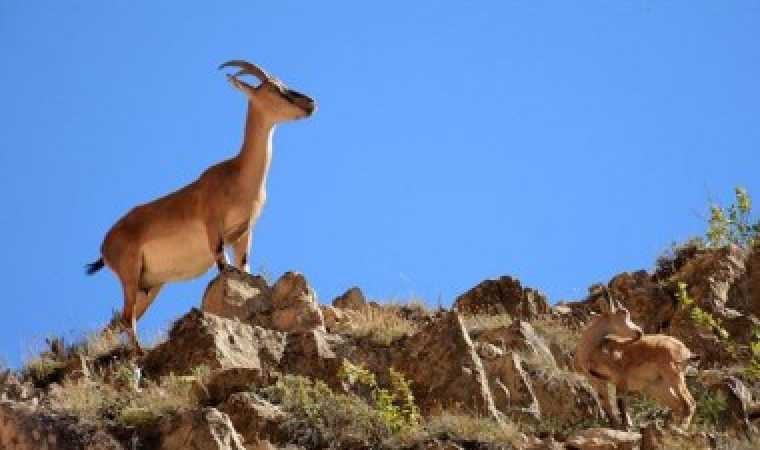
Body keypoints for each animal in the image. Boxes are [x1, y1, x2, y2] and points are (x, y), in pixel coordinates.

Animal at [85, 61, 314, 354]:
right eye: (274, 89)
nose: (310, 103)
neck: (238, 176)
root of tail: (104, 246)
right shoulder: (213, 227)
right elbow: (223, 268)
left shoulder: (243, 232)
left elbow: (244, 268)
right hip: (130, 274)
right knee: (126, 318)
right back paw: (139, 353)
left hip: (149, 286)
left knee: (119, 320)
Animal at [576, 296, 696, 428]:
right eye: (623, 314)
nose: (639, 332)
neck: (593, 349)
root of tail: (685, 351)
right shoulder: (596, 380)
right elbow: (606, 404)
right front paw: (616, 426)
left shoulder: (620, 377)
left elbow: (621, 402)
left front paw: (626, 426)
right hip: (657, 387)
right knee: (678, 404)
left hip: (673, 373)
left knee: (689, 402)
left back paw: (681, 427)